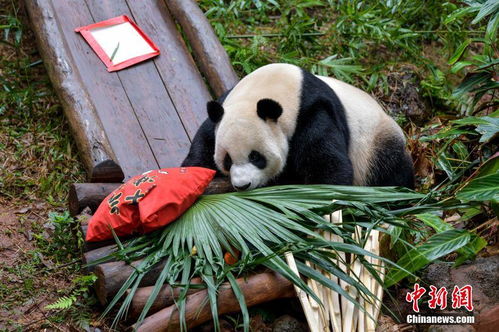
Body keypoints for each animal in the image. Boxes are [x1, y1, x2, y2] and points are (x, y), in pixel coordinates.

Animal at [182, 63, 416, 191]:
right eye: (228, 160)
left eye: (256, 157)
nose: (242, 185)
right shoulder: (223, 108)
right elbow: (204, 141)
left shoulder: (313, 113)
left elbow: (327, 163)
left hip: (374, 143)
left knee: (390, 168)